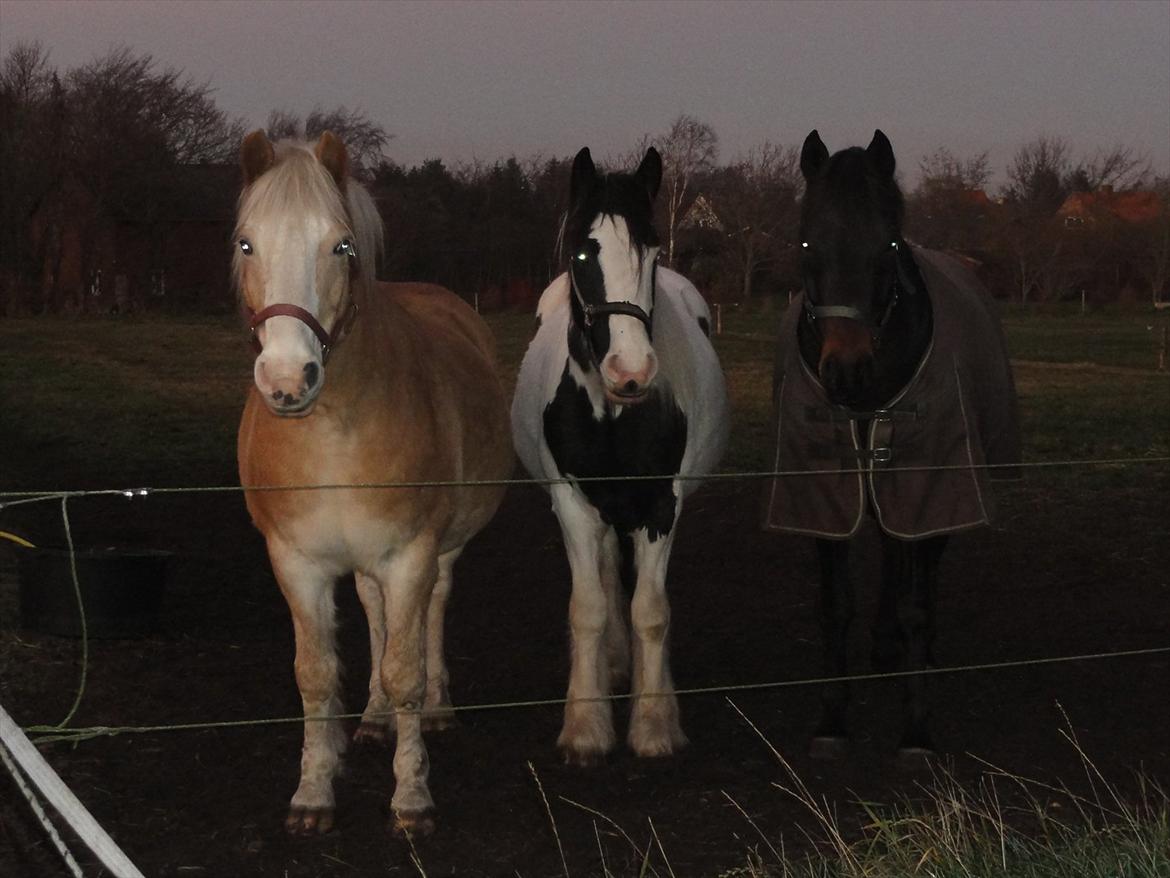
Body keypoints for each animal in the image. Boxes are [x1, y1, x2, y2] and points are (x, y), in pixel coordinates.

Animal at [235, 130, 510, 838]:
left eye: (341, 245)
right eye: (246, 243)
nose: (288, 378)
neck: (332, 433)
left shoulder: (410, 554)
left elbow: (407, 668)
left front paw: (411, 797)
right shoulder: (296, 561)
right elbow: (315, 675)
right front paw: (313, 791)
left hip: (441, 551)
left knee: (431, 610)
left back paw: (435, 713)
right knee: (375, 614)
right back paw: (373, 718)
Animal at [514, 148, 725, 767]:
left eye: (653, 251)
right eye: (583, 252)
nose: (630, 372)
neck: (612, 416)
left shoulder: (661, 506)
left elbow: (651, 612)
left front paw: (654, 722)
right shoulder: (573, 505)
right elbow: (587, 608)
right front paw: (586, 725)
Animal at [762, 132, 1020, 767]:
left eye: (890, 245)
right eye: (807, 241)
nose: (846, 369)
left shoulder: (932, 482)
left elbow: (917, 604)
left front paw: (917, 728)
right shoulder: (825, 492)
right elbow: (835, 606)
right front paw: (833, 718)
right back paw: (883, 648)